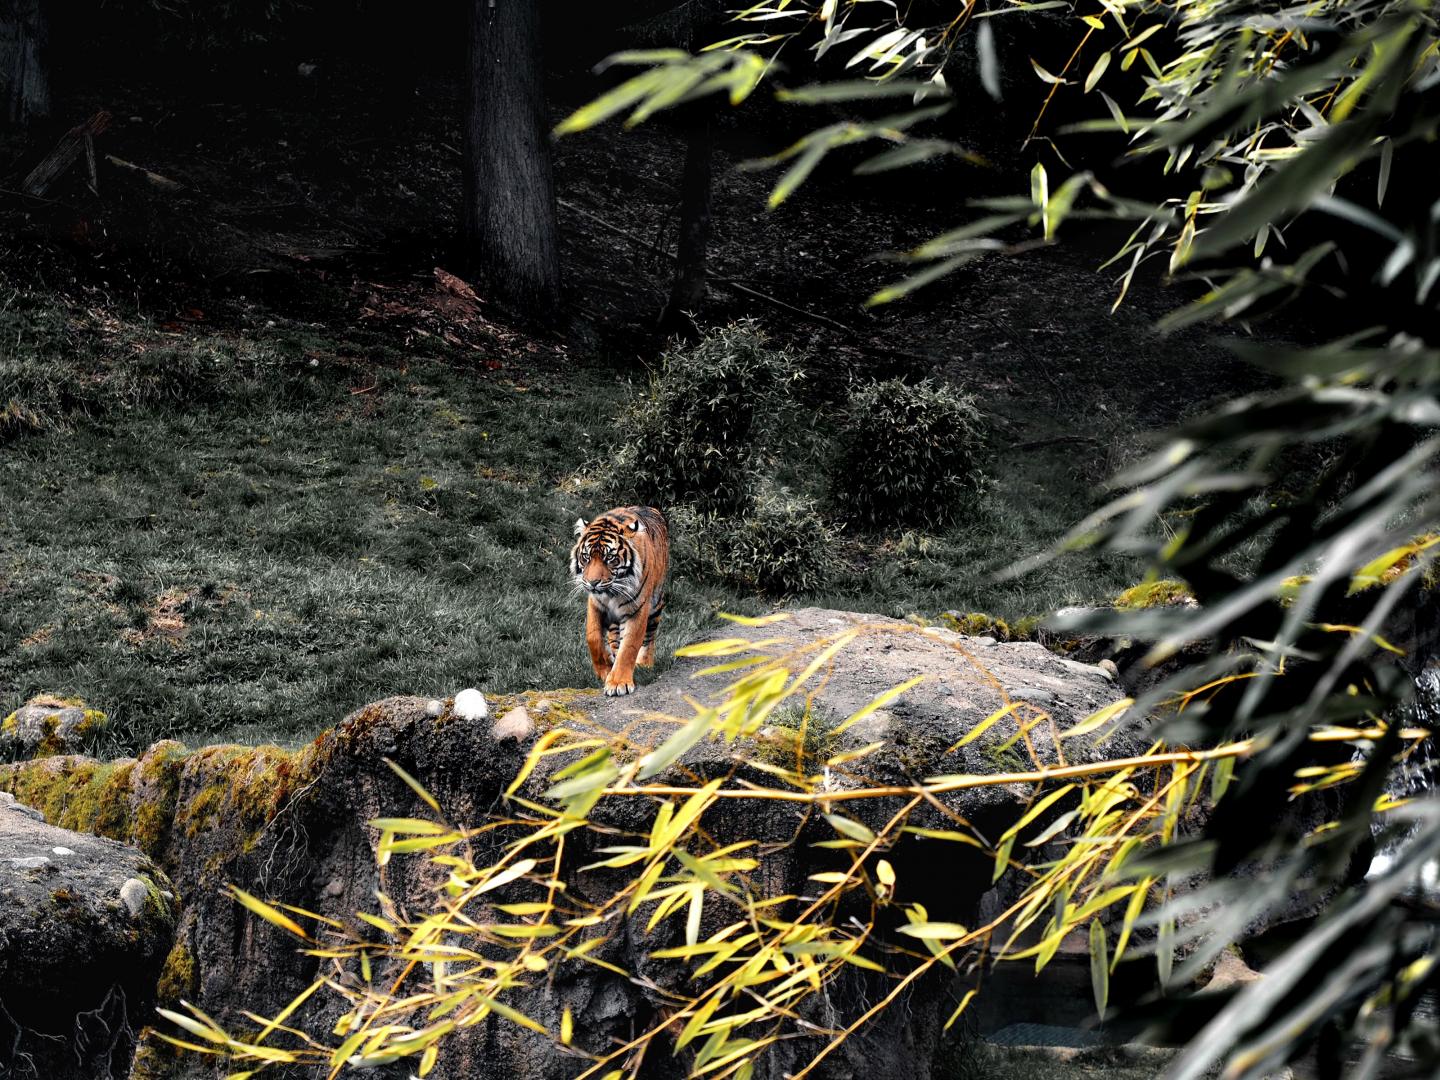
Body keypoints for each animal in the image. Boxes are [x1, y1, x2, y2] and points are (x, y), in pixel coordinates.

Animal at [570, 506, 670, 697]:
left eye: (610, 558)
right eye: (586, 557)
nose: (593, 583)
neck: (612, 593)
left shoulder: (637, 609)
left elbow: (629, 646)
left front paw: (618, 683)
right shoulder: (596, 604)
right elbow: (593, 637)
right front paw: (605, 670)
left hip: (655, 604)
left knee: (649, 636)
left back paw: (644, 663)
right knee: (614, 637)